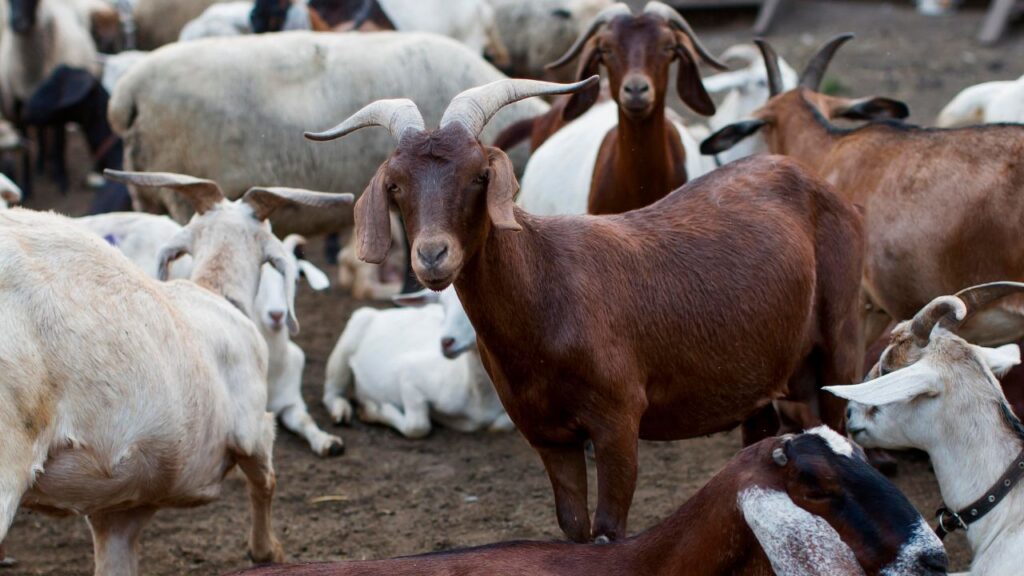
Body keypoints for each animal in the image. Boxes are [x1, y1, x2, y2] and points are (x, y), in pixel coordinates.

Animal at [323, 287, 511, 437]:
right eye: (443, 305)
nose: (446, 342)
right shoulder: (410, 374)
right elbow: (417, 426)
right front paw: (373, 409)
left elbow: (500, 426)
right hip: (345, 345)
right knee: (331, 392)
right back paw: (342, 412)